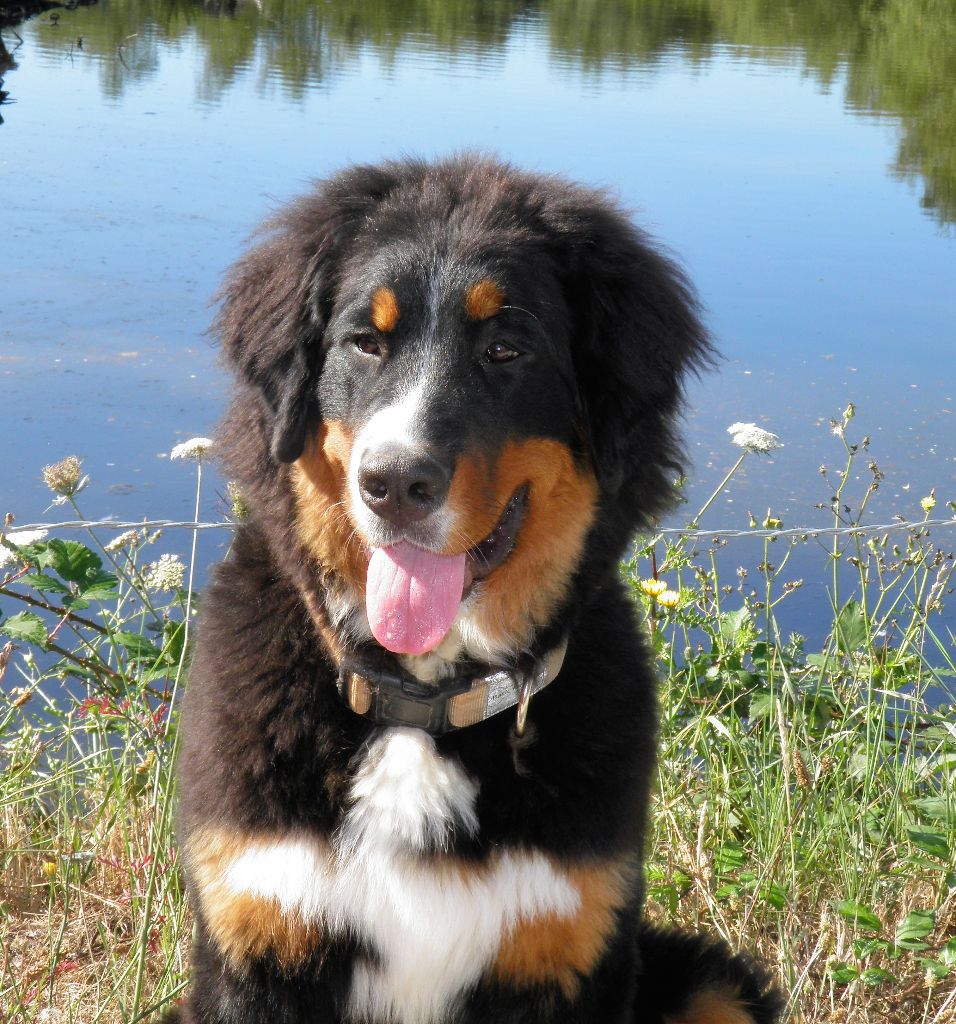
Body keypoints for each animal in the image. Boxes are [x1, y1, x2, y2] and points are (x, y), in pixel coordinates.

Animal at [173, 155, 782, 1024]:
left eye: (504, 349)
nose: (393, 482)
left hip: (711, 984)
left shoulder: (568, 942)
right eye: (366, 342)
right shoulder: (259, 933)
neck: (424, 709)